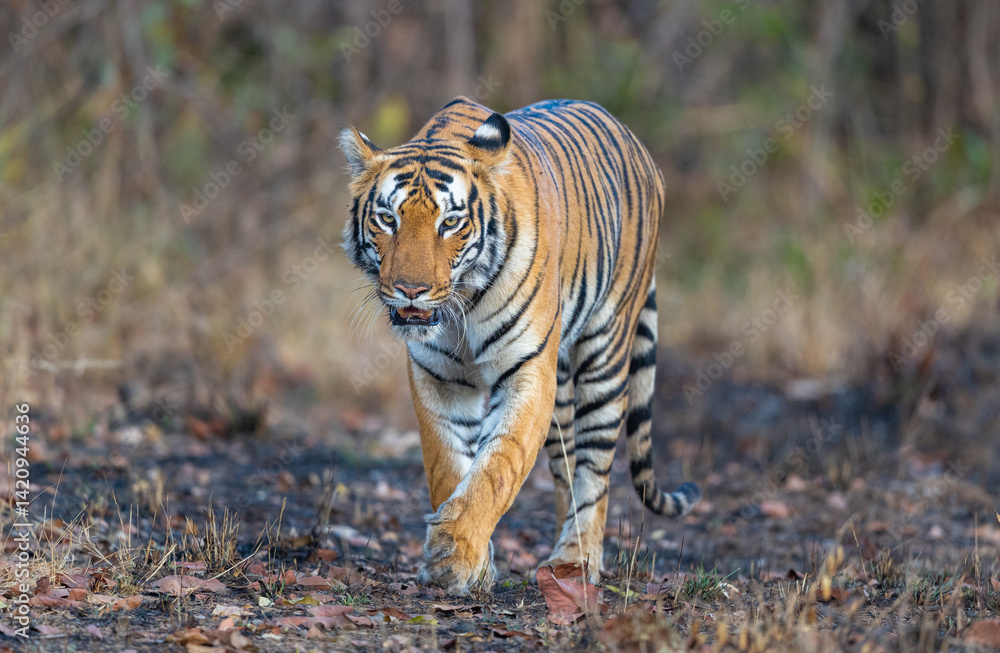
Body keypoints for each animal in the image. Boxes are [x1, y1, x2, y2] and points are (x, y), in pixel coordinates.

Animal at [340, 96, 700, 595]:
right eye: (387, 219)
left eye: (450, 223)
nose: (411, 290)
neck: (462, 307)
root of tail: (636, 143)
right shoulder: (439, 377)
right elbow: (448, 465)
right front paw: (472, 564)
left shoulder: (528, 373)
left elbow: (497, 468)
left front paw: (456, 556)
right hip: (563, 391)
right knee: (566, 467)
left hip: (605, 355)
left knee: (594, 469)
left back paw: (576, 560)